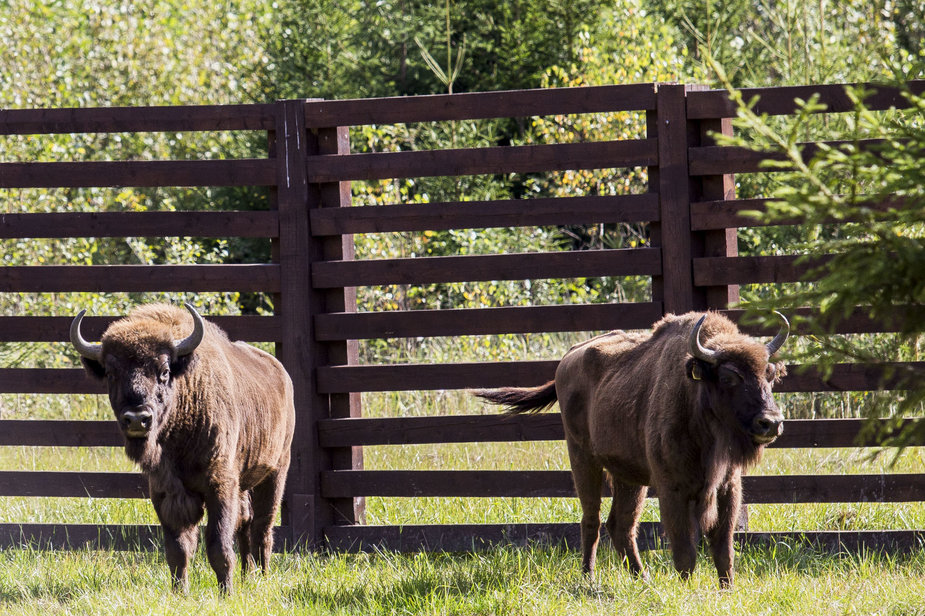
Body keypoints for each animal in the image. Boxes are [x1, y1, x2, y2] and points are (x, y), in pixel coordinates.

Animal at [72, 304, 296, 592]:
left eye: (164, 371)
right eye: (111, 373)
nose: (137, 418)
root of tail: (281, 373)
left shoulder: (220, 485)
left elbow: (218, 545)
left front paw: (226, 593)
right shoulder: (164, 491)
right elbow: (178, 549)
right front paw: (180, 592)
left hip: (276, 471)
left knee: (262, 528)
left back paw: (263, 579)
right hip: (246, 481)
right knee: (247, 524)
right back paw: (249, 576)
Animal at [476, 312, 788, 588]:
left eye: (769, 374)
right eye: (728, 377)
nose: (771, 422)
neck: (695, 397)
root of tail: (568, 358)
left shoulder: (727, 486)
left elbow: (723, 549)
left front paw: (726, 590)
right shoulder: (672, 488)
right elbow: (685, 550)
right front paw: (688, 589)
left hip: (629, 478)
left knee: (620, 526)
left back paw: (643, 579)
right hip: (582, 458)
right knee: (592, 521)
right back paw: (589, 579)